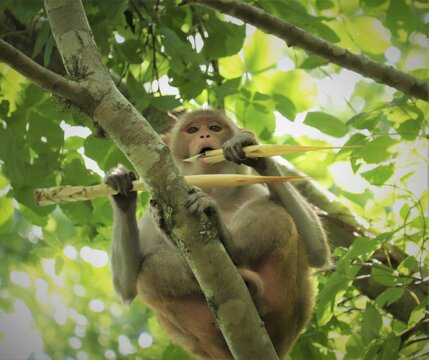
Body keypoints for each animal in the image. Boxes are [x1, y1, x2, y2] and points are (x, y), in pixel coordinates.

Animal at [104, 108, 332, 358]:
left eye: (214, 128)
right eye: (192, 129)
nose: (204, 135)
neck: (215, 189)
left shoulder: (252, 187)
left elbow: (317, 250)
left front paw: (254, 152)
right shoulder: (153, 209)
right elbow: (126, 288)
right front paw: (121, 189)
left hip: (286, 310)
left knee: (273, 209)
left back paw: (230, 244)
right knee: (147, 271)